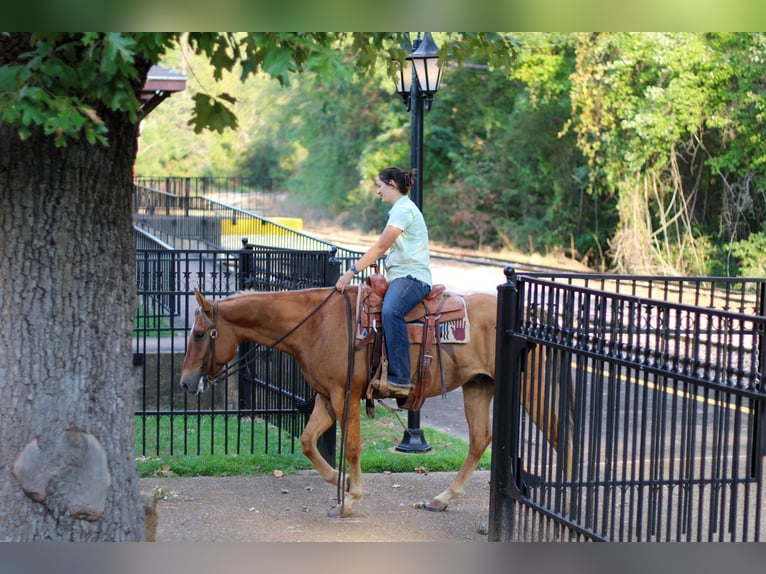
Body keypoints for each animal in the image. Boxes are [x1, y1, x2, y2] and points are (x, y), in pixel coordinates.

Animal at [180, 288, 568, 516]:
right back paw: (442, 498)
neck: (317, 324)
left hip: (529, 387)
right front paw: (337, 481)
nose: (185, 381)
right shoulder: (326, 396)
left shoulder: (345, 395)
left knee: (560, 436)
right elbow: (307, 441)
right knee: (479, 440)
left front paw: (351, 498)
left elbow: (352, 446)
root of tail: (531, 311)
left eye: (199, 334)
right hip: (478, 386)